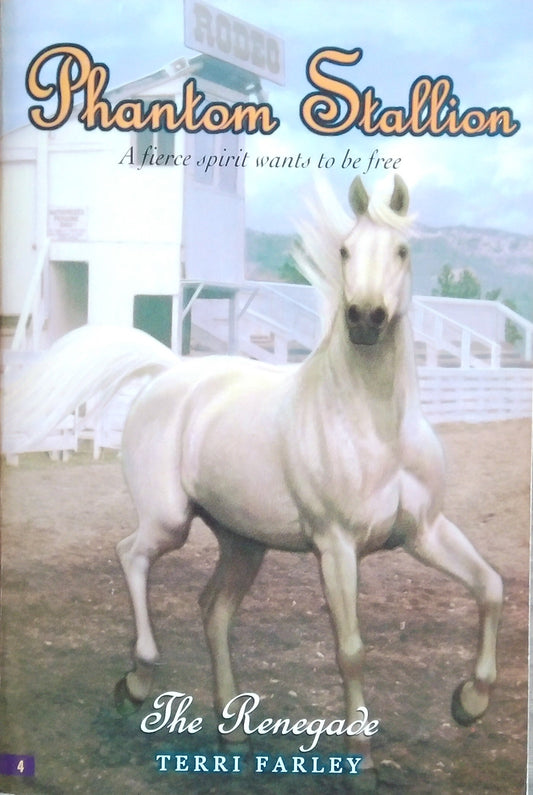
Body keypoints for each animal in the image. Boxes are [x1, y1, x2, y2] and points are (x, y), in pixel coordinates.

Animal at [3, 176, 502, 777]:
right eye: (345, 251)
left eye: (402, 251)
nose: (364, 318)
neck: (374, 425)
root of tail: (169, 371)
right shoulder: (337, 546)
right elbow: (351, 649)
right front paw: (359, 745)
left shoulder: (425, 531)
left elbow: (491, 588)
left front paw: (470, 702)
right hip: (170, 521)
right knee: (131, 555)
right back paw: (137, 681)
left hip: (243, 542)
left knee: (214, 610)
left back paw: (232, 731)